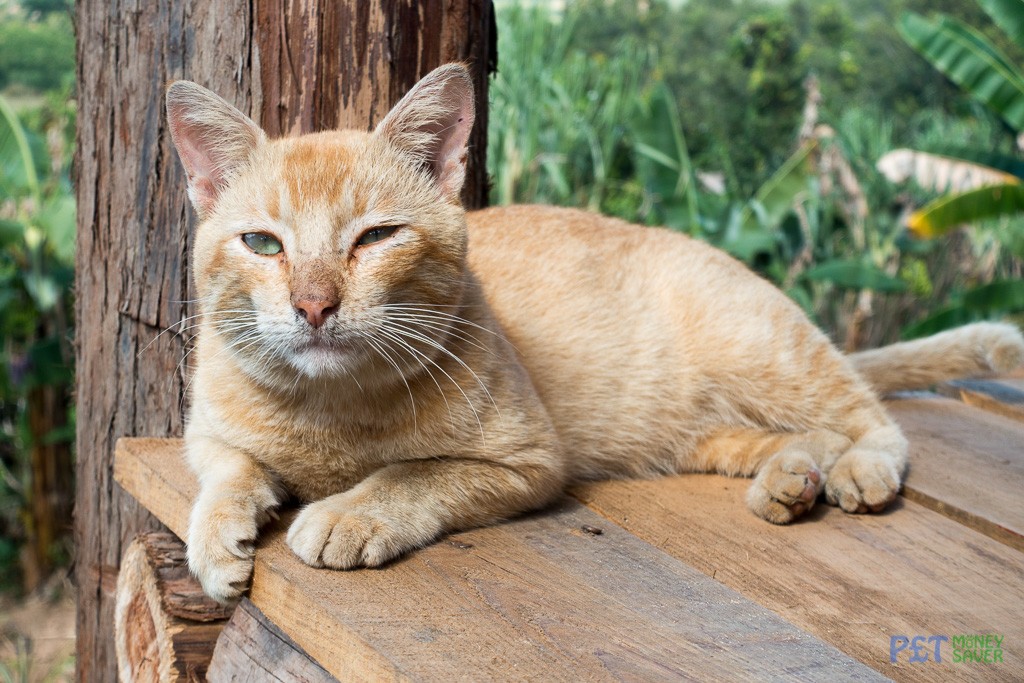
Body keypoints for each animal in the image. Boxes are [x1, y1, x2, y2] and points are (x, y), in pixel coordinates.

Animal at [167, 61, 1024, 602]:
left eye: (375, 237)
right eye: (263, 243)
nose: (313, 305)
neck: (328, 411)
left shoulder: (529, 460)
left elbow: (411, 474)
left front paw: (350, 510)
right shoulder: (206, 433)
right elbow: (225, 471)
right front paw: (216, 540)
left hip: (769, 355)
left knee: (869, 420)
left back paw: (858, 470)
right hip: (702, 434)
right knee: (797, 437)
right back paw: (791, 481)